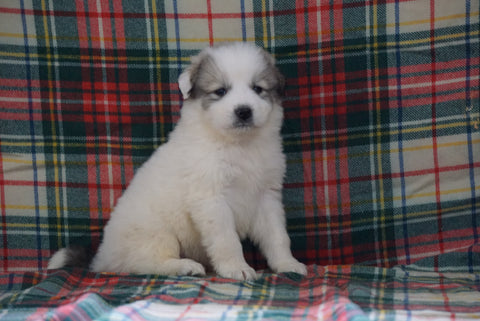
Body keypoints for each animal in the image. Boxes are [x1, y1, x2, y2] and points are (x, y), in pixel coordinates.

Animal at [48, 42, 308, 280]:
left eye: (257, 88)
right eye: (221, 91)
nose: (243, 111)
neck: (238, 145)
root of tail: (101, 258)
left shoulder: (267, 196)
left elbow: (278, 236)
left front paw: (288, 264)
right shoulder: (211, 198)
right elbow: (227, 240)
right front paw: (237, 268)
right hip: (156, 233)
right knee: (144, 263)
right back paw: (184, 266)